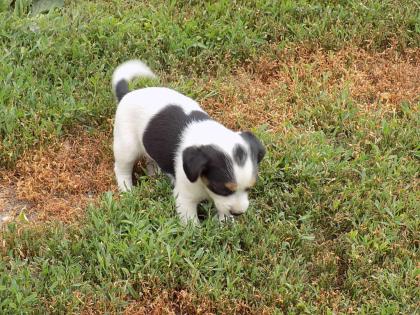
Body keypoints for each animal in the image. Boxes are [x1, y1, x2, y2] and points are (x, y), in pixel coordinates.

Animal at [111, 60, 266, 225]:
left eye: (249, 188)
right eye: (221, 189)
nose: (238, 213)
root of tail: (126, 94)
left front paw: (224, 223)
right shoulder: (185, 198)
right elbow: (191, 224)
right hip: (126, 147)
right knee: (121, 169)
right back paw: (127, 190)